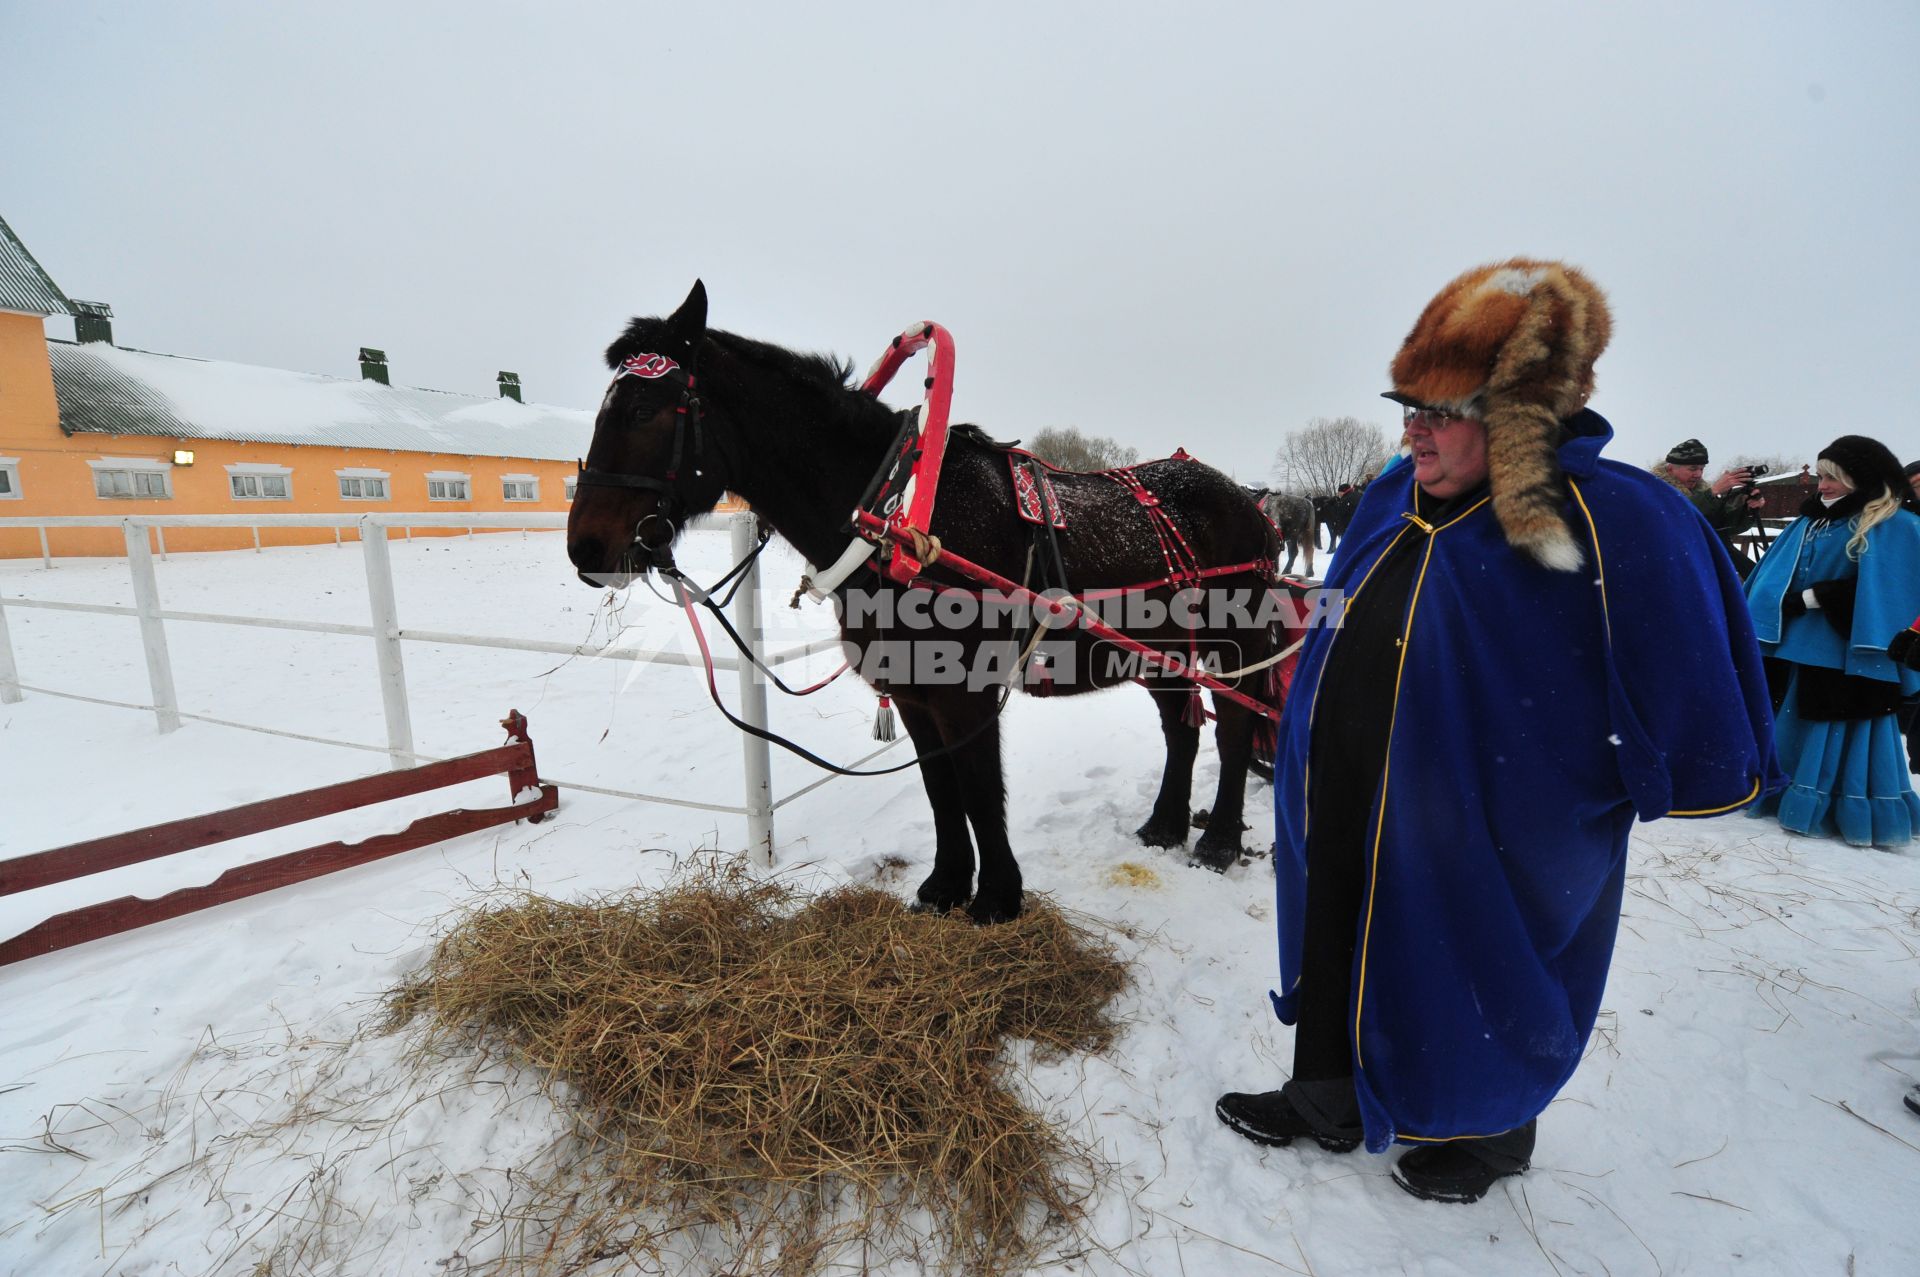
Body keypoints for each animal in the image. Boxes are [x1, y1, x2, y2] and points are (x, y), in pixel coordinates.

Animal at [572, 282, 1290, 917]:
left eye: (642, 410)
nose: (585, 547)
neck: (896, 520)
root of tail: (1251, 504)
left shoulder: (964, 694)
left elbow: (979, 791)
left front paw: (997, 898)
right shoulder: (916, 695)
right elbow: (941, 790)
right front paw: (945, 886)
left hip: (1232, 648)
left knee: (1233, 731)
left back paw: (1219, 842)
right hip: (1159, 654)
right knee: (1180, 730)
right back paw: (1164, 826)